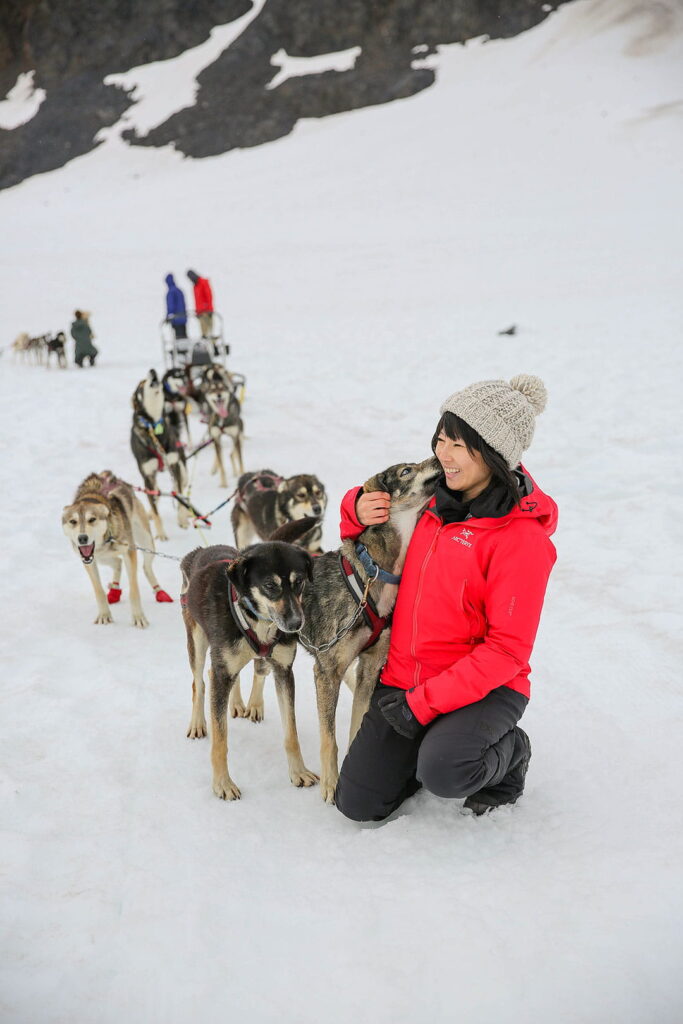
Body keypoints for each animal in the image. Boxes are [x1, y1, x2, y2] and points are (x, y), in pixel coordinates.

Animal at [130, 370, 189, 544]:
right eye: (141, 384)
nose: (152, 370)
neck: (154, 427)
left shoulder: (175, 466)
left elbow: (179, 494)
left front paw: (182, 519)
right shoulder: (148, 476)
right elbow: (157, 512)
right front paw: (161, 533)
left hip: (181, 468)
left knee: (181, 485)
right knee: (156, 494)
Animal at [183, 532, 319, 802]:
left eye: (298, 582)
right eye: (270, 585)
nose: (296, 624)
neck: (257, 620)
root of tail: (201, 551)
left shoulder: (284, 671)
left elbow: (291, 734)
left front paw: (299, 772)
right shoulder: (223, 671)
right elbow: (220, 741)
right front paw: (222, 783)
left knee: (248, 673)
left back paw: (244, 704)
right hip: (197, 641)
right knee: (200, 681)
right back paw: (198, 723)